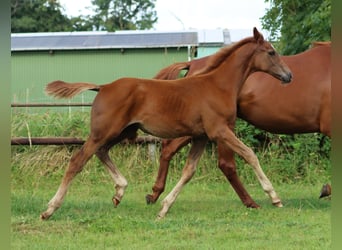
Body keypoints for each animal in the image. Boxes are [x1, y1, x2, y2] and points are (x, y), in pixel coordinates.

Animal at [40, 28, 292, 220]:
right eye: (271, 52)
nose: (289, 75)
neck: (218, 85)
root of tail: (103, 86)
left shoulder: (201, 136)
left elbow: (189, 171)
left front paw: (163, 207)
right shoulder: (219, 131)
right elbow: (250, 154)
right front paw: (274, 197)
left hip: (121, 132)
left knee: (101, 153)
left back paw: (119, 191)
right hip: (104, 132)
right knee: (77, 160)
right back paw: (50, 209)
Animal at [146, 41, 330, 209]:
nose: (288, 76)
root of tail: (193, 64)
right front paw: (326, 189)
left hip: (199, 129)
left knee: (169, 148)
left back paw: (155, 193)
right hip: (219, 128)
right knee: (226, 164)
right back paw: (253, 201)